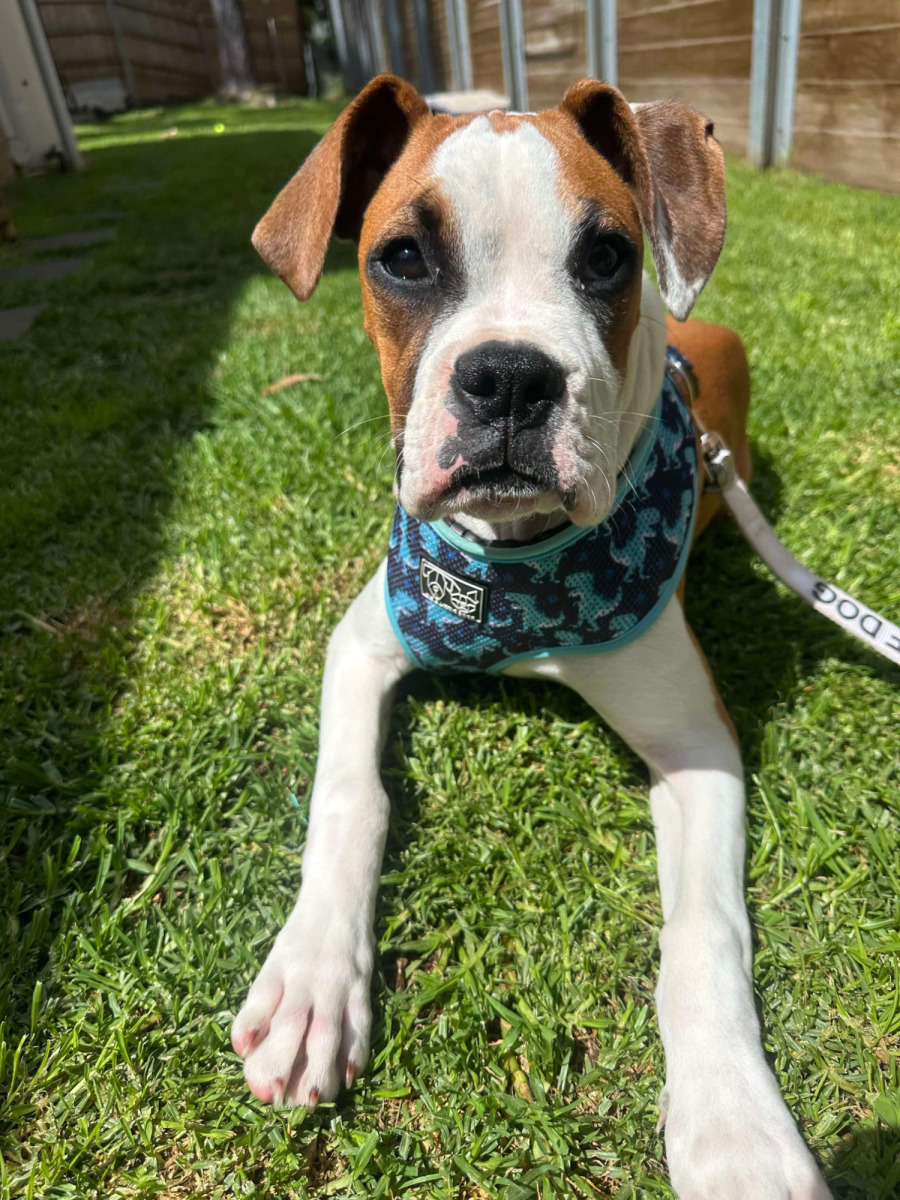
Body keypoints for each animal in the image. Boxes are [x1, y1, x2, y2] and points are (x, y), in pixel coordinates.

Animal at [231, 76, 832, 1199]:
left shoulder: (699, 745)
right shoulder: (366, 639)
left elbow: (703, 933)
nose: (508, 377)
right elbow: (350, 796)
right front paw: (311, 983)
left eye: (606, 257)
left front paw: (736, 1128)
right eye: (402, 257)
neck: (517, 569)